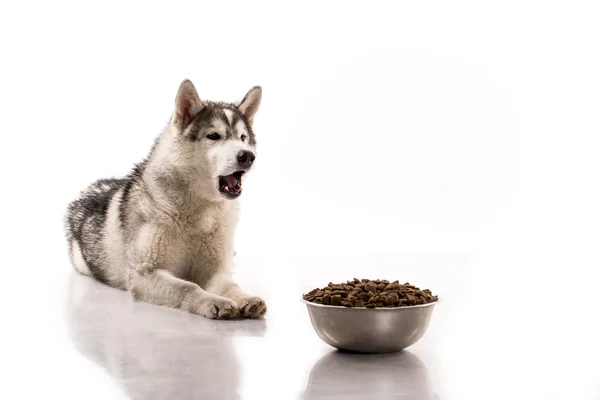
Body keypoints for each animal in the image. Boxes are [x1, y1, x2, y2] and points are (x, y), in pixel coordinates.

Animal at [63, 79, 268, 320]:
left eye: (242, 138)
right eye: (214, 136)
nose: (247, 156)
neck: (198, 213)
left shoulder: (215, 271)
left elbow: (230, 285)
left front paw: (245, 298)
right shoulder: (145, 273)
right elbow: (188, 287)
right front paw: (213, 302)